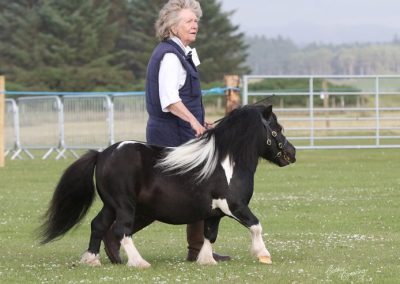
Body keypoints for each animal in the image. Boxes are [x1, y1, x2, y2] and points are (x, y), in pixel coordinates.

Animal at [39, 103, 296, 268]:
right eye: (277, 129)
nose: (292, 154)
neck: (226, 162)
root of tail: (102, 154)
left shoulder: (214, 213)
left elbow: (209, 236)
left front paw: (207, 260)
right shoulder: (234, 206)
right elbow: (256, 225)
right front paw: (263, 254)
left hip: (111, 205)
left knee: (99, 225)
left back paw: (93, 260)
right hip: (125, 205)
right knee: (121, 230)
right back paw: (139, 263)